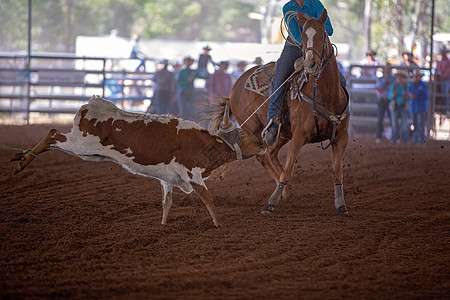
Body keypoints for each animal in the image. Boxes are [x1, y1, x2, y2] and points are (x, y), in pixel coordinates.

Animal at [209, 8, 350, 214]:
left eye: (323, 35)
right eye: (304, 37)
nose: (311, 64)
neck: (324, 93)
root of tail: (234, 89)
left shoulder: (340, 136)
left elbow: (337, 171)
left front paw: (341, 204)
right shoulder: (299, 135)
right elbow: (288, 169)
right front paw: (271, 203)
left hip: (282, 133)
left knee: (270, 154)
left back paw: (287, 192)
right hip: (255, 131)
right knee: (260, 155)